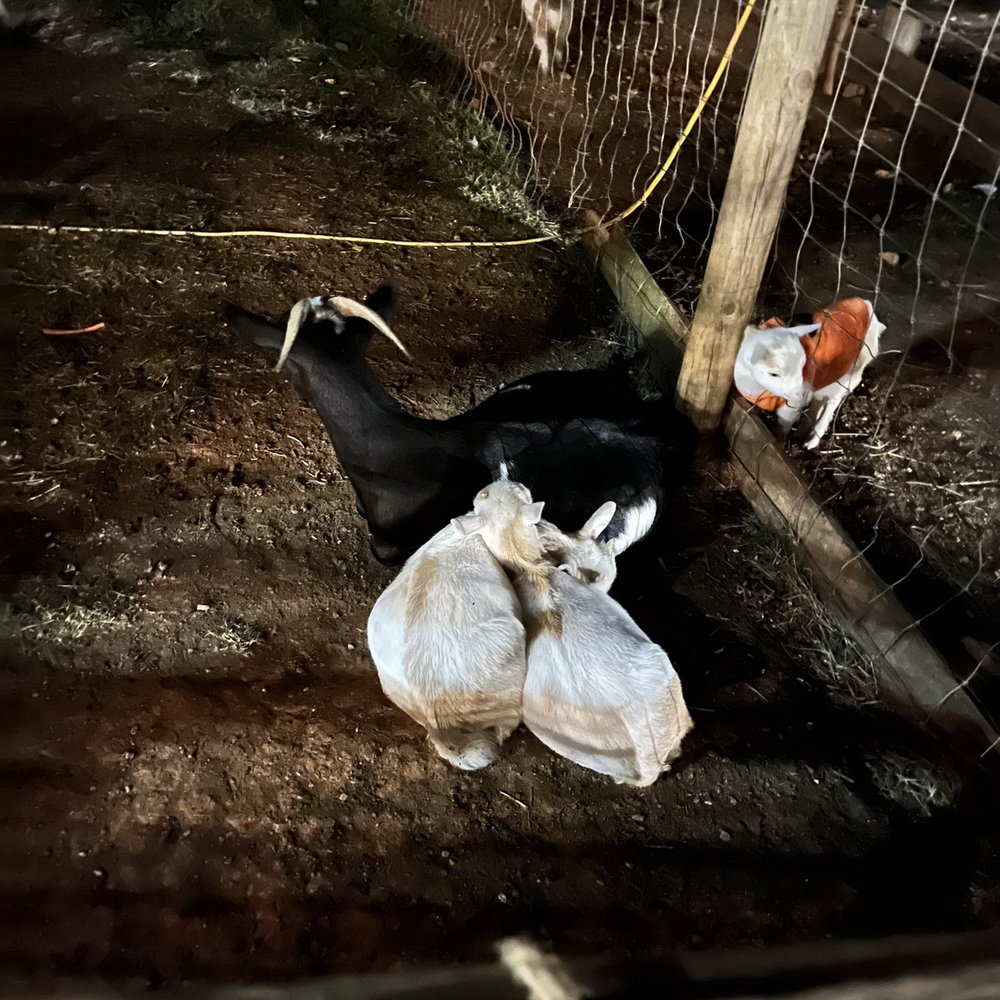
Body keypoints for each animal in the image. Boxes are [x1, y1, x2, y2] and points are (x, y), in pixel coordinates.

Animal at [734, 297, 884, 449]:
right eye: (773, 374)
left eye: (803, 365)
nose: (800, 393)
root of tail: (865, 304)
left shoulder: (790, 408)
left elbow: (781, 430)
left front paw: (779, 442)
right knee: (817, 405)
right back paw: (802, 434)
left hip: (849, 378)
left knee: (831, 405)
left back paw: (812, 441)